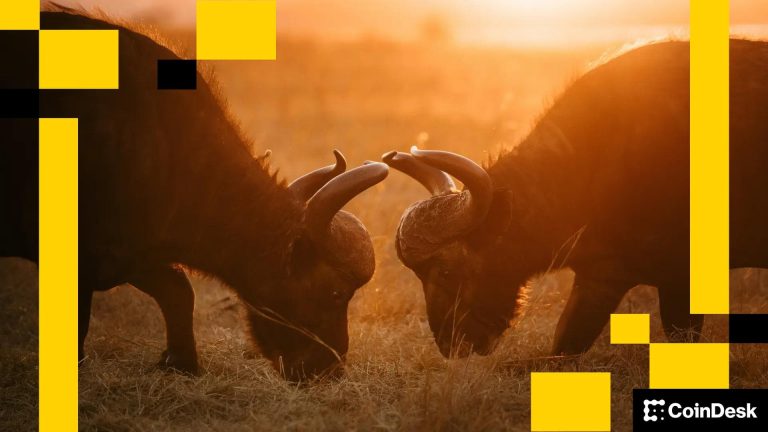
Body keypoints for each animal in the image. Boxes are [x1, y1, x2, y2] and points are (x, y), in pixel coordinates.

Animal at [0, 11, 388, 381]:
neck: (161, 142)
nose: (329, 370)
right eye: (336, 292)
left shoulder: (129, 252)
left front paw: (180, 362)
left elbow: (178, 289)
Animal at [385, 40, 768, 358]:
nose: (451, 345)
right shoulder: (601, 275)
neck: (597, 158)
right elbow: (564, 345)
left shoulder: (677, 279)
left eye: (448, 270)